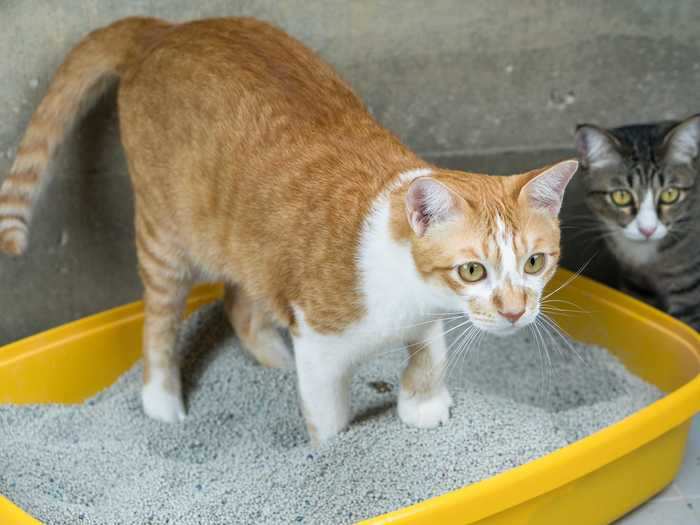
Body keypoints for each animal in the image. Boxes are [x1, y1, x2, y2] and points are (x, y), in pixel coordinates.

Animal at [1, 16, 576, 442]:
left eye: (534, 262)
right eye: (472, 270)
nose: (515, 311)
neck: (403, 287)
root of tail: (165, 29)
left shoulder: (426, 319)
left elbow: (430, 358)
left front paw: (423, 405)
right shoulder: (320, 347)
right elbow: (330, 420)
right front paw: (332, 451)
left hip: (248, 243)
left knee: (239, 302)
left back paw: (275, 364)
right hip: (166, 238)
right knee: (159, 324)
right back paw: (163, 405)